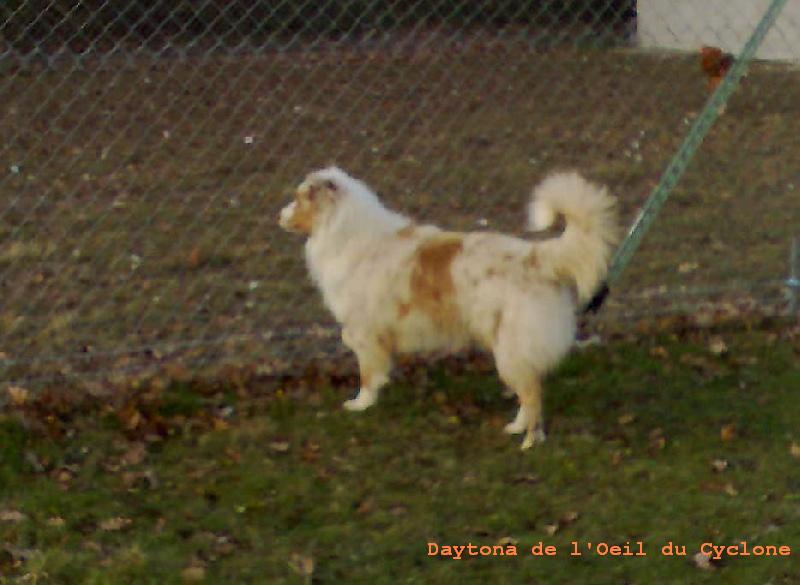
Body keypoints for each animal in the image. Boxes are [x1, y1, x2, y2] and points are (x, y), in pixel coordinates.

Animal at [282, 167, 620, 450]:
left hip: (511, 350)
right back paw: (514, 427)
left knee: (532, 395)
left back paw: (529, 442)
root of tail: (538, 257)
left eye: (298, 199)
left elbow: (367, 375)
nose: (278, 215)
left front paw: (360, 404)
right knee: (528, 394)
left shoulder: (364, 333)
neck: (347, 232)